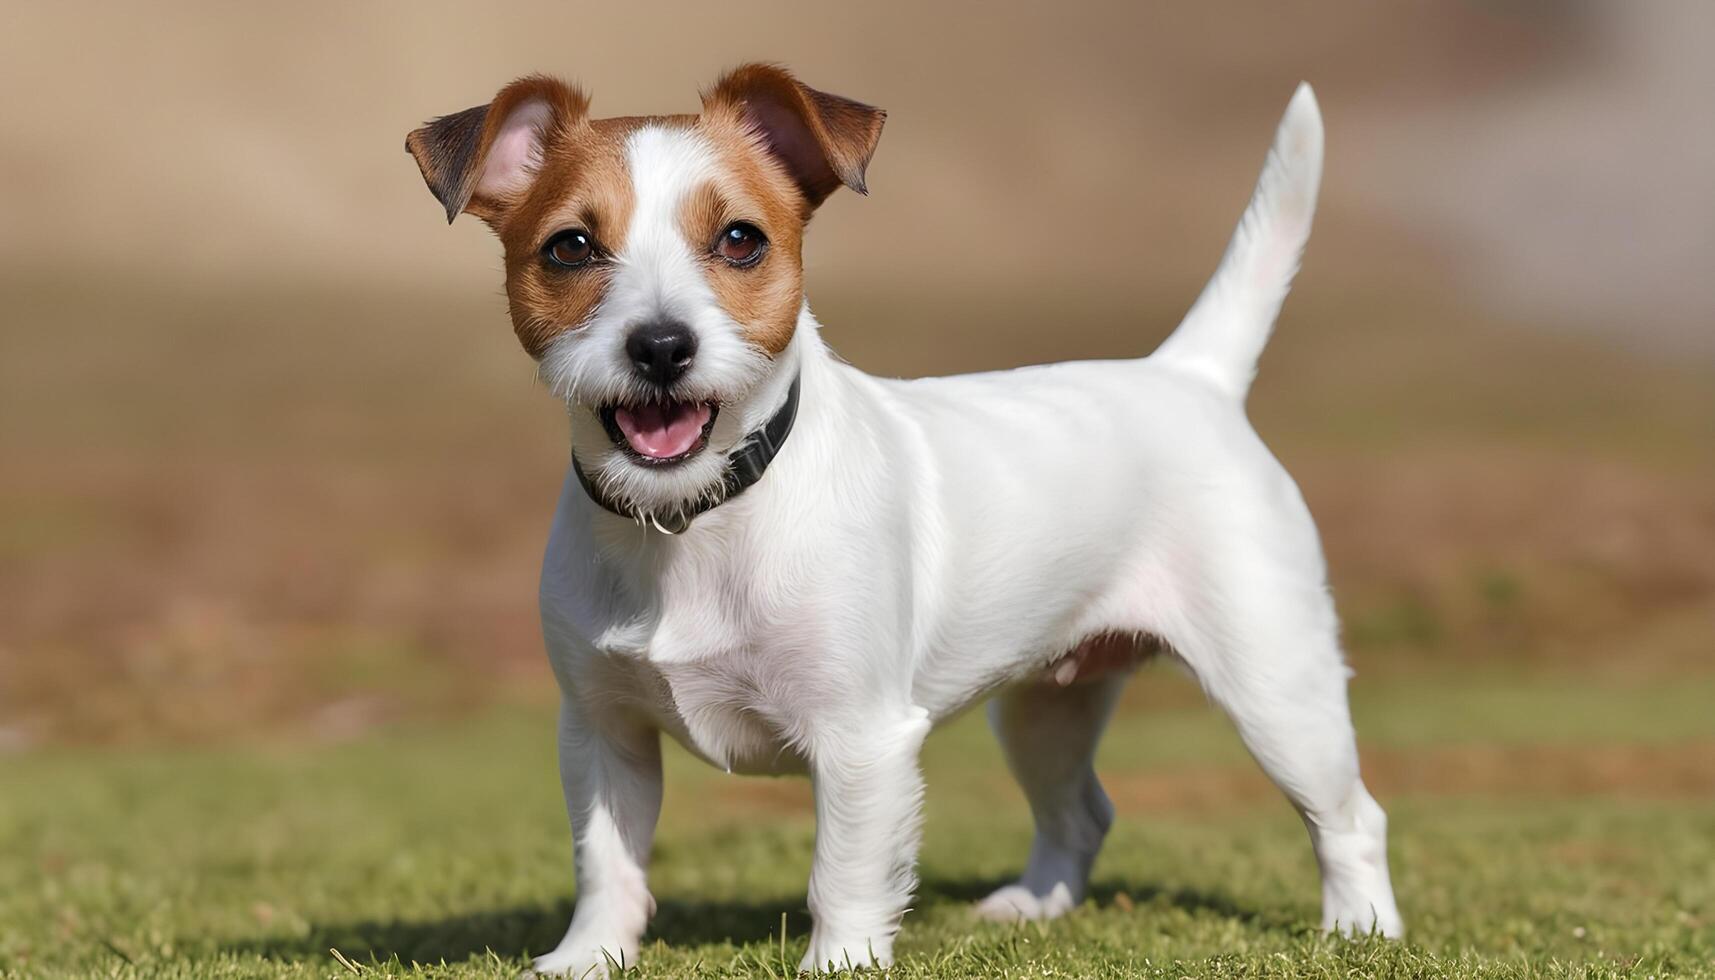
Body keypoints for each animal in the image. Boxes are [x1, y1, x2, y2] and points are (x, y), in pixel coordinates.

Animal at [408, 65, 1399, 974]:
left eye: (739, 240)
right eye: (570, 247)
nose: (659, 347)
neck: (695, 522)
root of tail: (1188, 375)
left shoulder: (862, 742)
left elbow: (842, 874)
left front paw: (839, 962)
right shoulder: (601, 734)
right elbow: (606, 862)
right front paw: (588, 957)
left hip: (1275, 688)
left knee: (1349, 815)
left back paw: (1360, 927)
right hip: (1044, 706)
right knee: (1081, 809)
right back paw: (1034, 905)